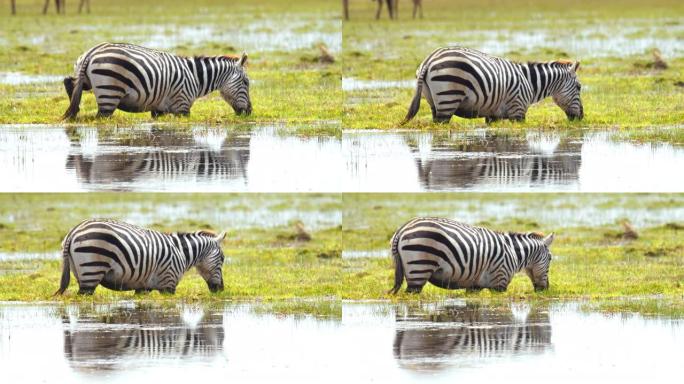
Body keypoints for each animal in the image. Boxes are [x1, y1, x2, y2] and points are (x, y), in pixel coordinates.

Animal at [55, 218, 227, 296]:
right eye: (223, 259)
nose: (221, 289)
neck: (181, 253)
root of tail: (74, 230)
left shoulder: (143, 288)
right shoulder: (168, 285)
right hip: (91, 273)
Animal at [62, 42, 251, 119]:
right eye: (246, 83)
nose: (249, 111)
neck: (195, 77)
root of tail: (92, 51)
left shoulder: (158, 110)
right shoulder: (182, 107)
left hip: (83, 78)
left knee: (69, 82)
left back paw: (74, 112)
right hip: (109, 94)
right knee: (101, 116)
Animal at [388, 216, 552, 294]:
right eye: (550, 259)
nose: (545, 289)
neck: (512, 253)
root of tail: (402, 229)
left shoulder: (474, 287)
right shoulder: (499, 283)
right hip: (419, 270)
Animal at [404, 46, 584, 124]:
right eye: (579, 87)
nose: (581, 117)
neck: (529, 83)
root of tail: (429, 60)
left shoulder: (493, 116)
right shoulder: (518, 112)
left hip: (433, 103)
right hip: (448, 100)